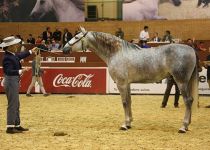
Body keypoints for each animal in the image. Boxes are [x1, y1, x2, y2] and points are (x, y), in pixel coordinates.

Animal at [63, 27, 198, 133]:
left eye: (76, 37)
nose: (64, 49)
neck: (116, 53)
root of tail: (191, 49)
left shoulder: (121, 84)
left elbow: (124, 102)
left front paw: (124, 124)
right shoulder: (127, 84)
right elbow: (129, 101)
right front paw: (129, 123)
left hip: (181, 81)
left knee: (188, 100)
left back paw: (183, 126)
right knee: (190, 100)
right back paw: (187, 125)